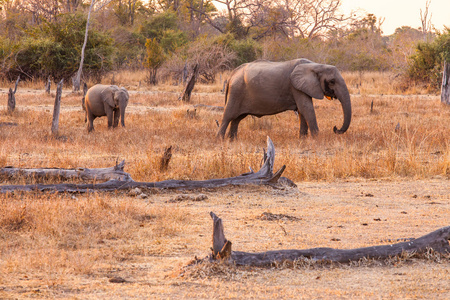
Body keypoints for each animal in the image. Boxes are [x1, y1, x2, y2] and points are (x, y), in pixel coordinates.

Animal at [217, 59, 352, 140]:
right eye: (332, 81)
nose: (335, 128)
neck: (315, 65)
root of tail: (231, 75)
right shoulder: (295, 87)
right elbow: (306, 108)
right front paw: (316, 139)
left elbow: (302, 111)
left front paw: (302, 139)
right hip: (236, 91)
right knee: (228, 116)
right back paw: (220, 140)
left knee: (237, 119)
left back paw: (232, 140)